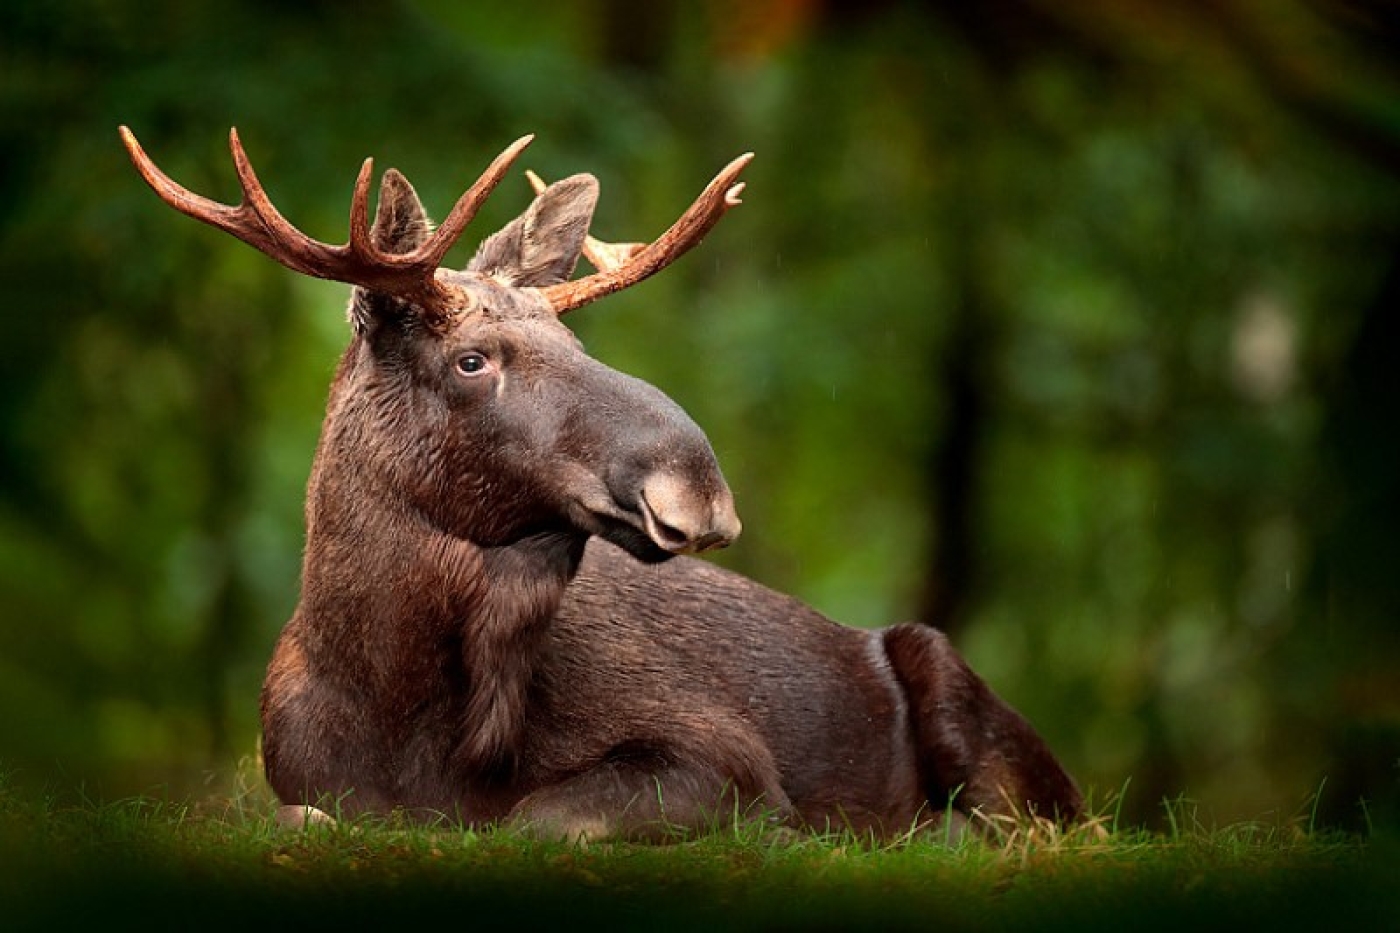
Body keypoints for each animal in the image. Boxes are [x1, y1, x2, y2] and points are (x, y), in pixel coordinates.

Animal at [123, 127, 1080, 840]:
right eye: (472, 359)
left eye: (576, 345)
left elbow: (539, 817)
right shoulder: (292, 782)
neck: (403, 711)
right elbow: (305, 815)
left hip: (964, 692)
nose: (698, 486)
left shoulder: (726, 755)